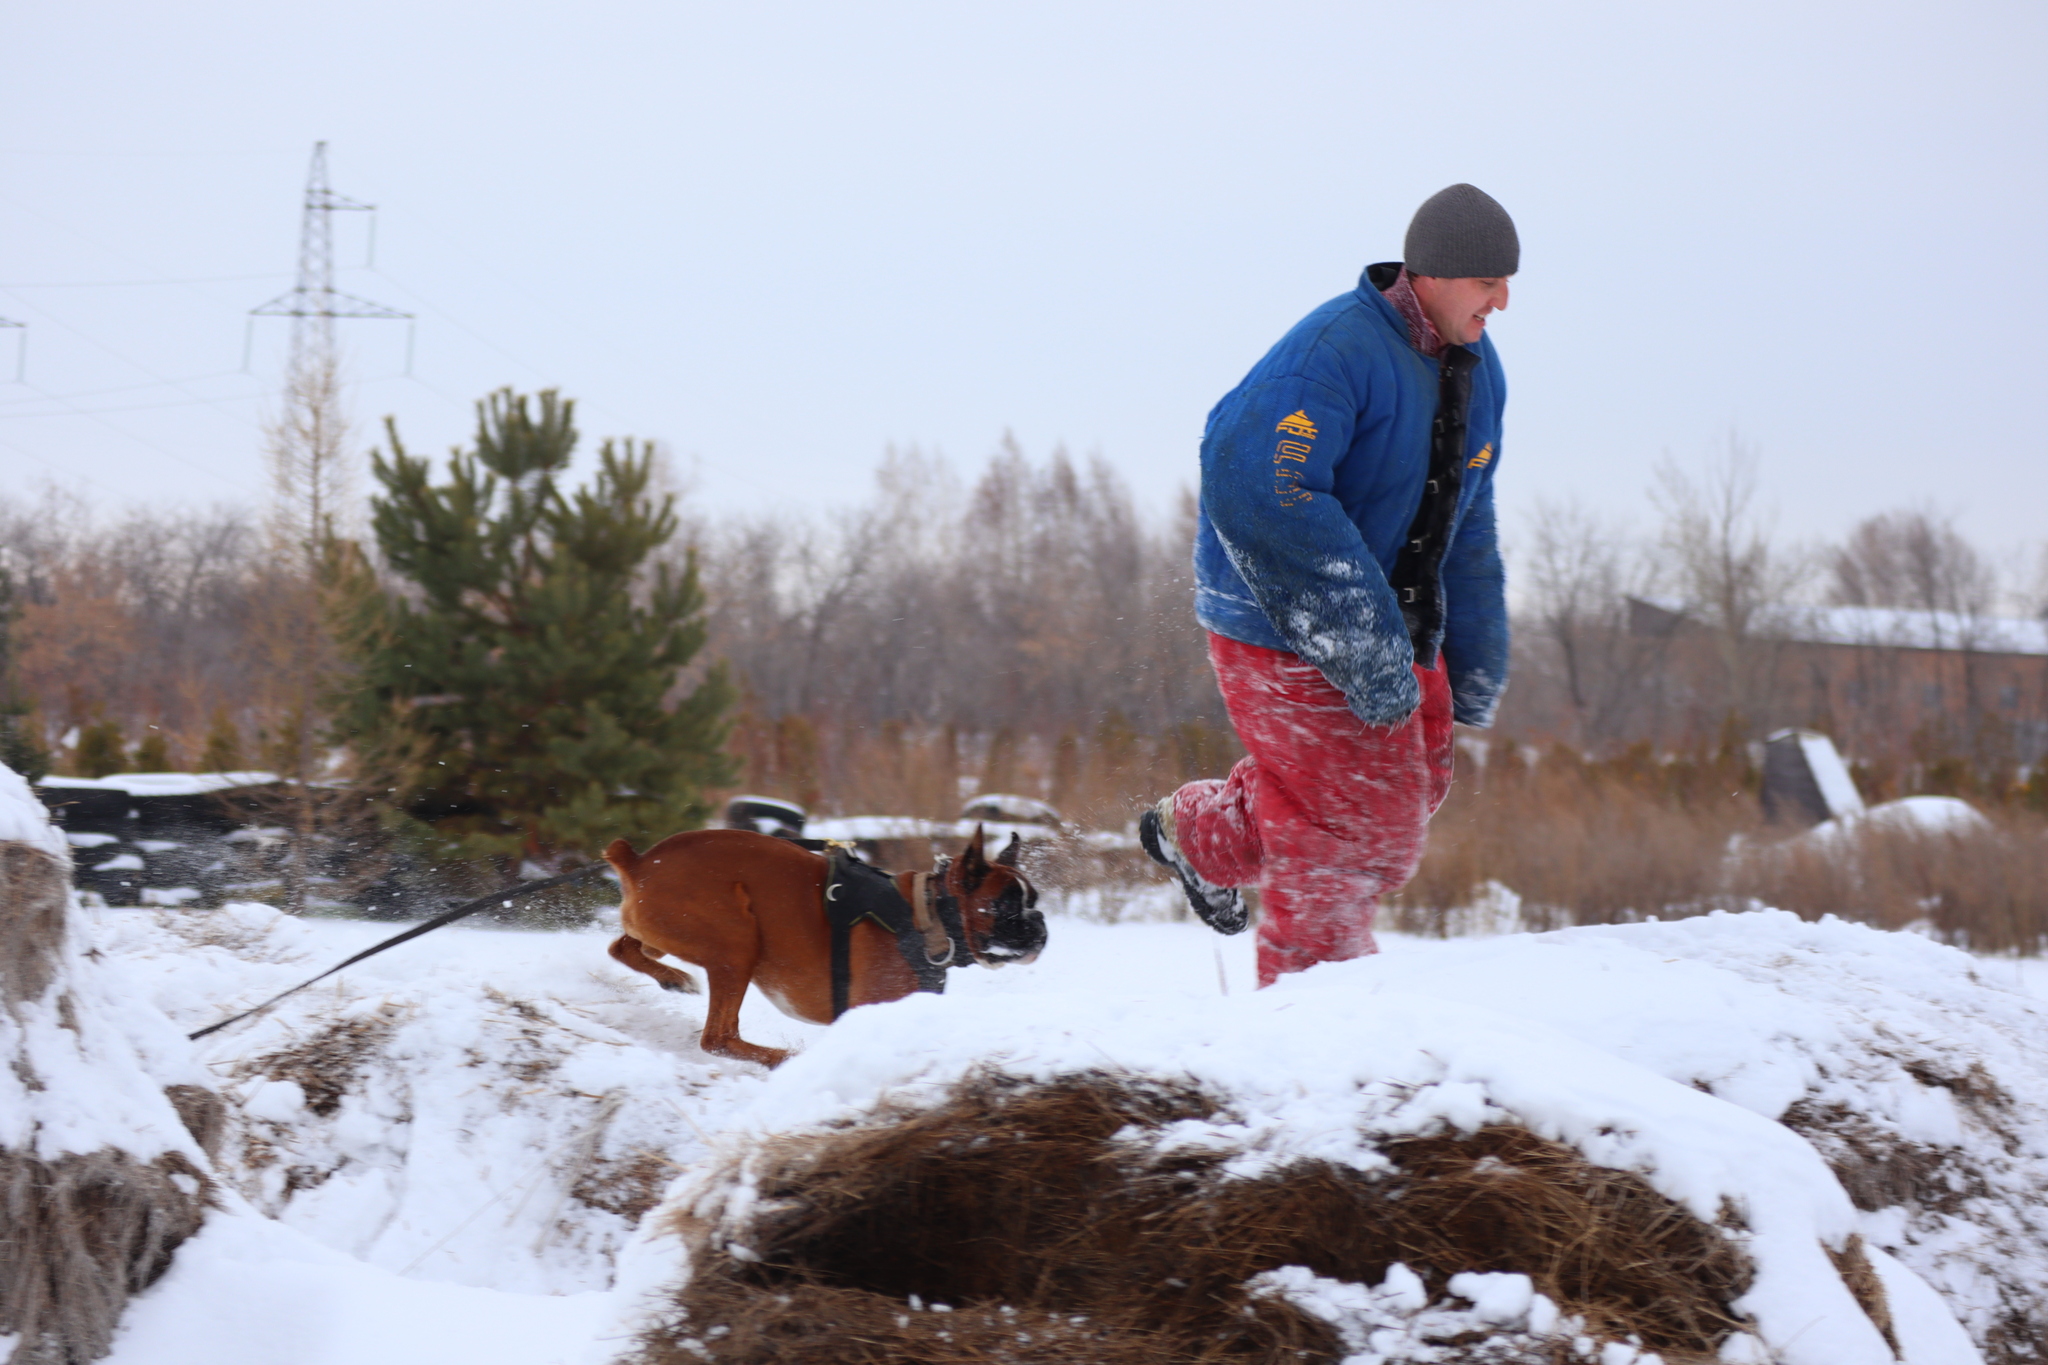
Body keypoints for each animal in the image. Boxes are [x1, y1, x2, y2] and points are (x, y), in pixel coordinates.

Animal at [593, 822, 1040, 1064]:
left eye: (1032, 899)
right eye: (1004, 905)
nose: (1038, 923)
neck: (927, 917)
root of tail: (638, 861)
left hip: (663, 932)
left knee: (623, 948)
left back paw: (671, 978)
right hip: (737, 942)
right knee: (718, 1038)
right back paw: (786, 1060)